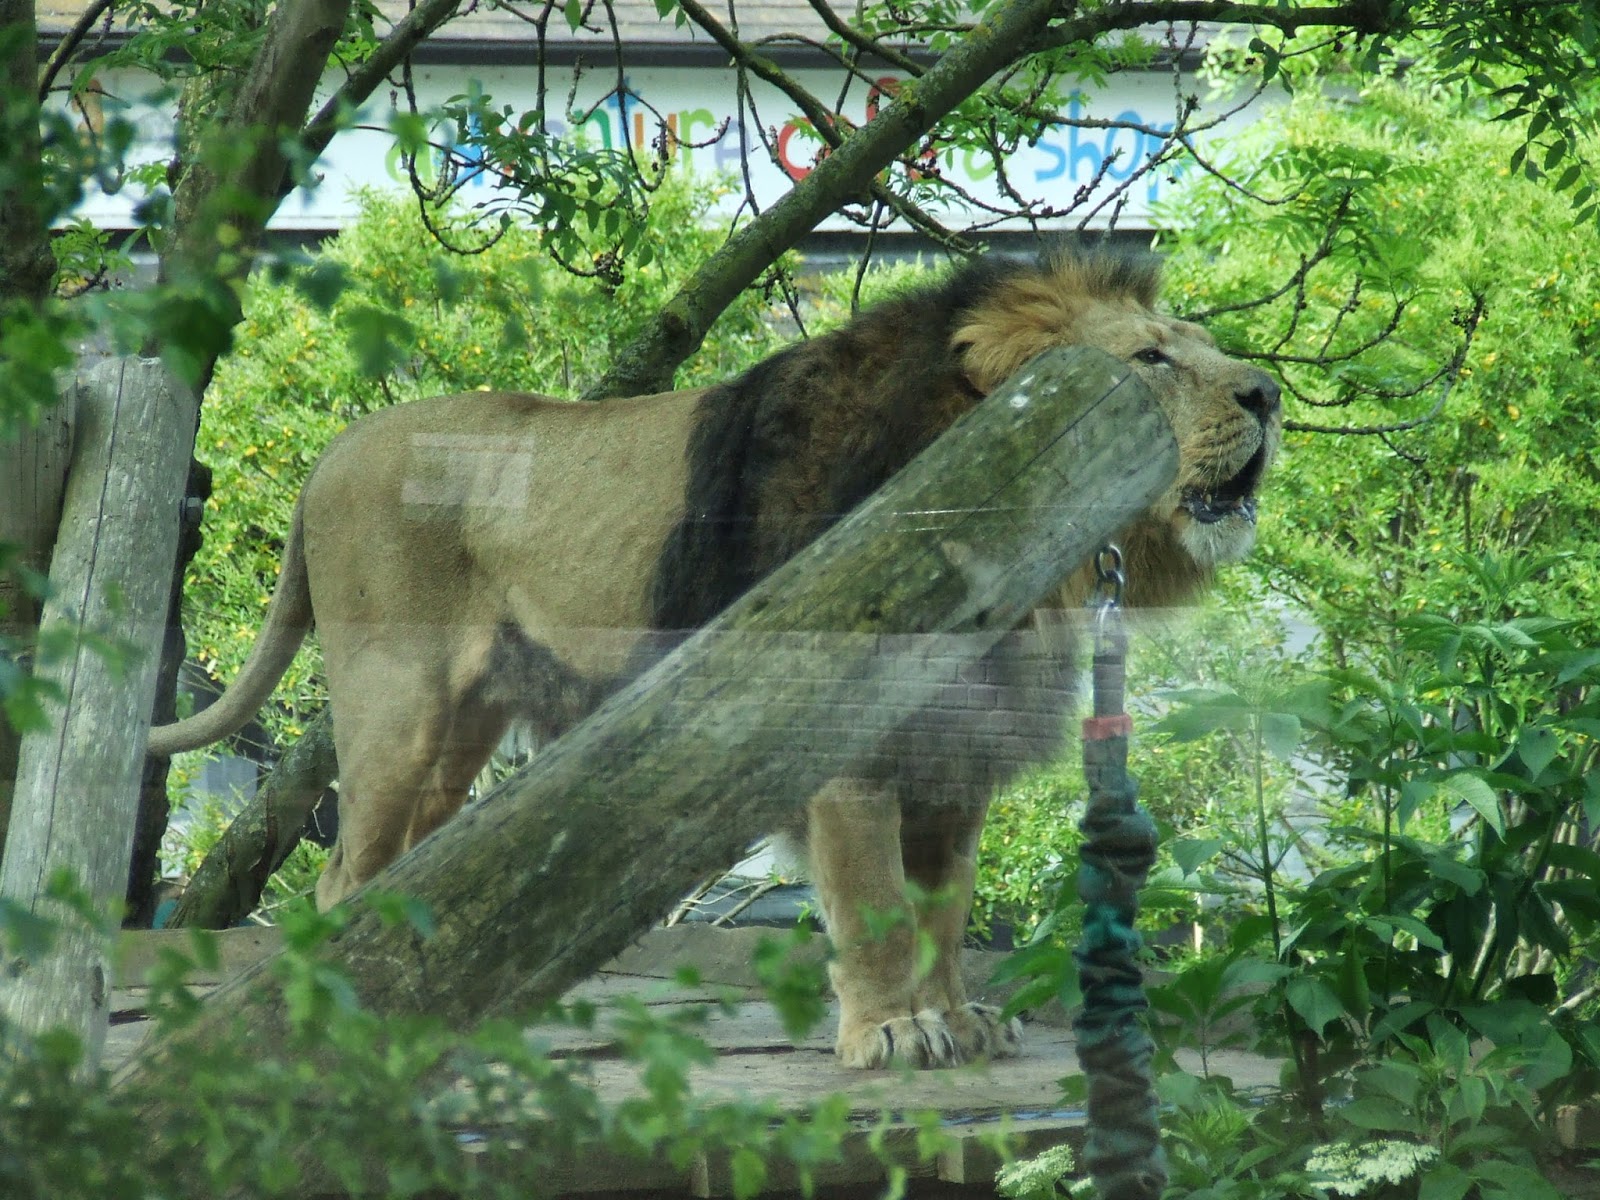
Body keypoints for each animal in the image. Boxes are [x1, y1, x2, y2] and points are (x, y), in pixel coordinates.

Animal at [151, 243, 1280, 1070]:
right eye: (1152, 360)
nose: (1268, 394)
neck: (1035, 561)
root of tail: (328, 459)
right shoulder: (848, 741)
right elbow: (875, 907)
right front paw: (893, 1034)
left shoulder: (955, 756)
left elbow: (945, 910)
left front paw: (962, 1021)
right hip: (397, 705)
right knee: (345, 875)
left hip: (462, 729)